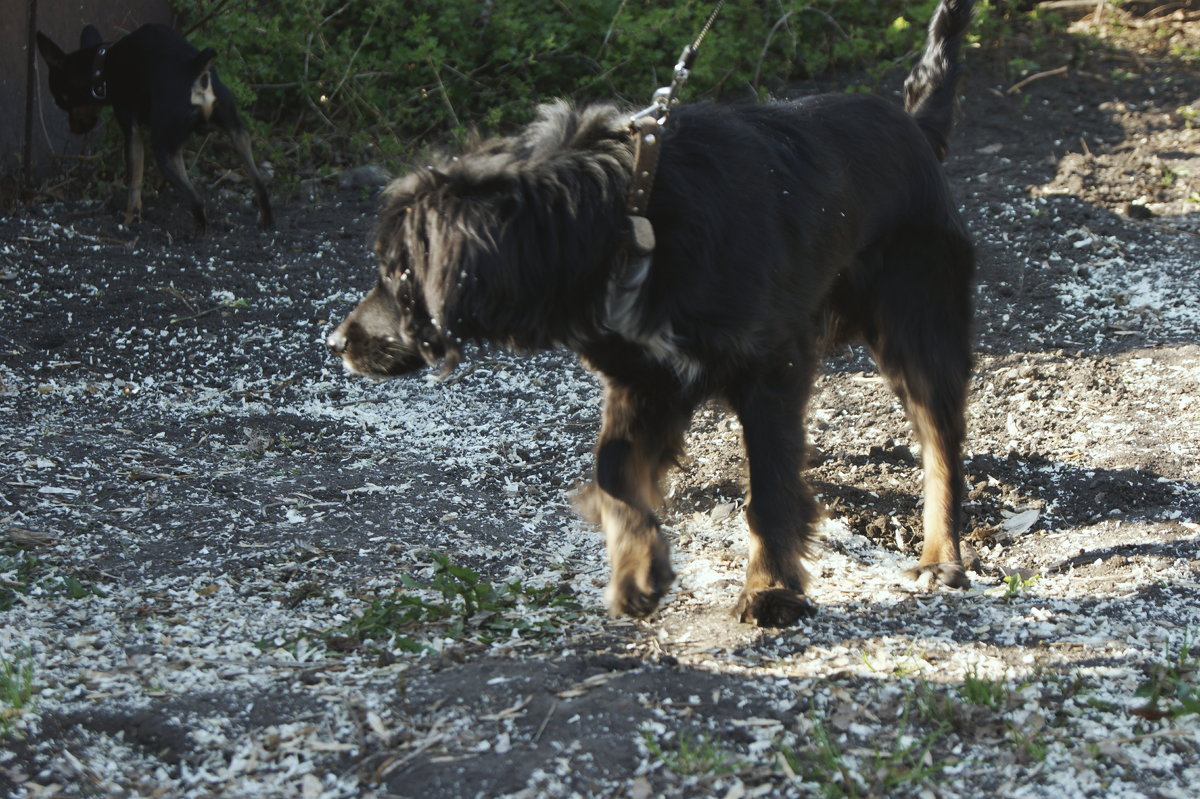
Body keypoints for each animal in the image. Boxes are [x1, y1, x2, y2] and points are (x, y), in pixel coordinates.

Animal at [36, 22, 274, 233]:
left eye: (60, 100)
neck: (102, 63)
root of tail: (195, 67)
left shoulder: (131, 131)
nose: (73, 128)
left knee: (197, 200)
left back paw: (196, 235)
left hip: (163, 149)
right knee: (259, 182)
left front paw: (130, 220)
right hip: (236, 133)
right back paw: (266, 222)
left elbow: (135, 181)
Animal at [326, 0, 974, 623]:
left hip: (920, 326)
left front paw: (769, 589)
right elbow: (614, 470)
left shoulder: (772, 369)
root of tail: (915, 127)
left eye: (399, 272)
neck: (632, 218)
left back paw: (939, 558)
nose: (337, 342)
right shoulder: (645, 376)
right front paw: (638, 569)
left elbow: (769, 491)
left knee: (941, 447)